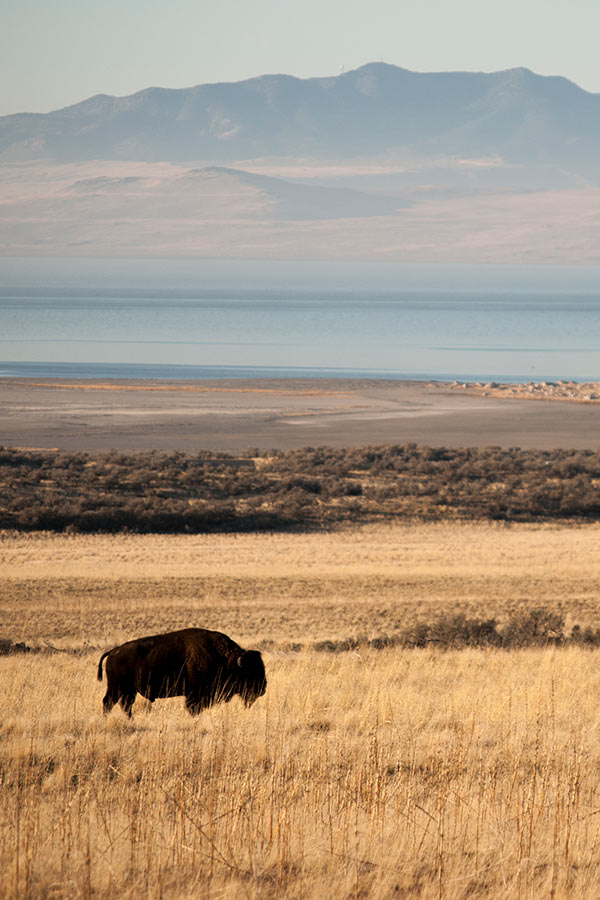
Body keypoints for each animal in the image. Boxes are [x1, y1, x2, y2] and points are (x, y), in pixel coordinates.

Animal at [96, 624, 264, 716]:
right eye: (251, 672)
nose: (262, 689)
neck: (225, 658)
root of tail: (113, 651)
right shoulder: (195, 695)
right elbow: (193, 708)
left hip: (128, 690)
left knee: (124, 705)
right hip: (117, 688)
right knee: (109, 703)